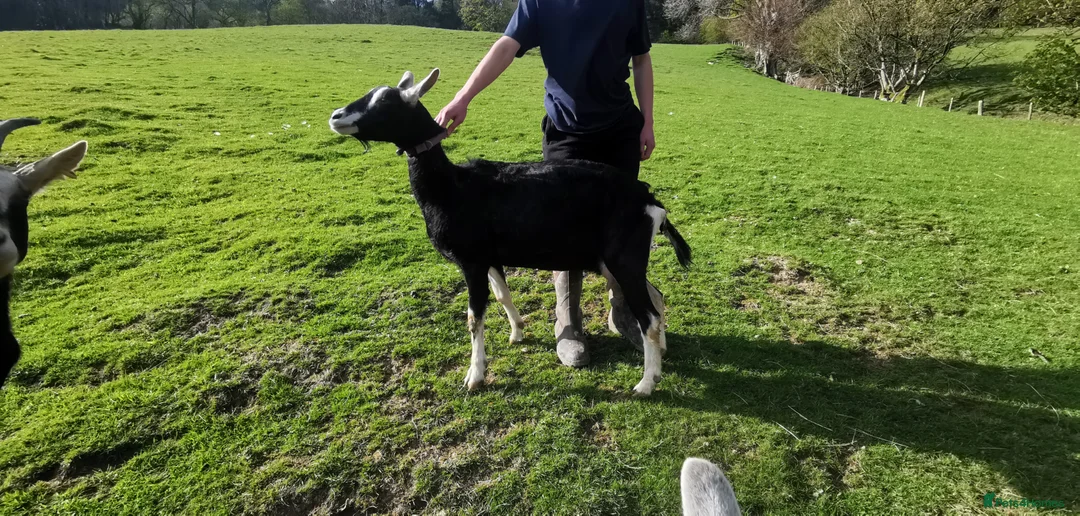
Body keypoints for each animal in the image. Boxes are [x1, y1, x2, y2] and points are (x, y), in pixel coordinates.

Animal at [328, 69, 691, 396]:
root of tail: (648, 200)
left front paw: (475, 376)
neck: (451, 187)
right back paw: (661, 352)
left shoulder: (471, 261)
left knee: (649, 317)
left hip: (623, 259)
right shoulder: (490, 257)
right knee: (656, 298)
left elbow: (474, 317)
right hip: (615, 261)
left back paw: (646, 384)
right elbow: (503, 294)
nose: (336, 116)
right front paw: (517, 332)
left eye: (385, 102)